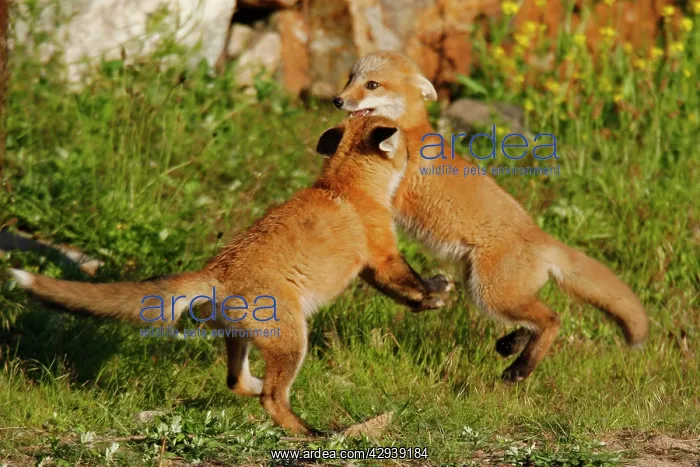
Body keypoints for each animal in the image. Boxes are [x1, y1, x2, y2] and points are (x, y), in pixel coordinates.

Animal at [8, 115, 452, 435]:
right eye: (408, 145)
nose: (426, 147)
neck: (347, 187)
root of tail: (216, 272)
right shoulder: (380, 257)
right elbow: (408, 284)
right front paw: (433, 295)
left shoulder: (371, 265)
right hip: (294, 340)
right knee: (272, 398)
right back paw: (310, 433)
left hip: (245, 339)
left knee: (236, 382)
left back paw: (254, 391)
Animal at [333, 51, 649, 382]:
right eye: (350, 79)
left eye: (372, 84)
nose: (337, 101)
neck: (407, 130)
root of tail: (537, 234)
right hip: (489, 292)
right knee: (536, 320)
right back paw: (512, 346)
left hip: (490, 294)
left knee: (552, 318)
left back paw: (520, 368)